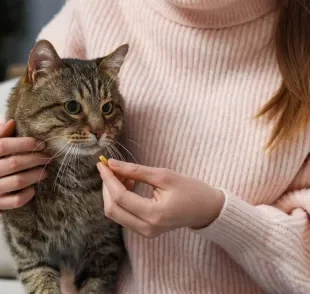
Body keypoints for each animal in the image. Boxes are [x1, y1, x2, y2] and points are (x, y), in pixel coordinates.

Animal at [1, 39, 129, 294]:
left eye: (108, 107)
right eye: (72, 107)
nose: (99, 131)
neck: (72, 178)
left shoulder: (104, 245)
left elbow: (95, 286)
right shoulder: (29, 251)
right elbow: (43, 285)